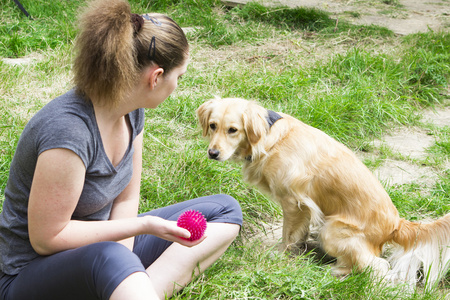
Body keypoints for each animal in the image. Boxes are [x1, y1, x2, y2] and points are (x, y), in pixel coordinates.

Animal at [197, 98, 450, 288]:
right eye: (213, 125)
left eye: (233, 130)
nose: (212, 153)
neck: (269, 138)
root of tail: (396, 225)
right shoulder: (304, 208)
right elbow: (298, 233)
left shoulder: (292, 202)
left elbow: (288, 235)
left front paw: (281, 254)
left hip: (332, 230)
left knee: (377, 267)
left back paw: (334, 272)